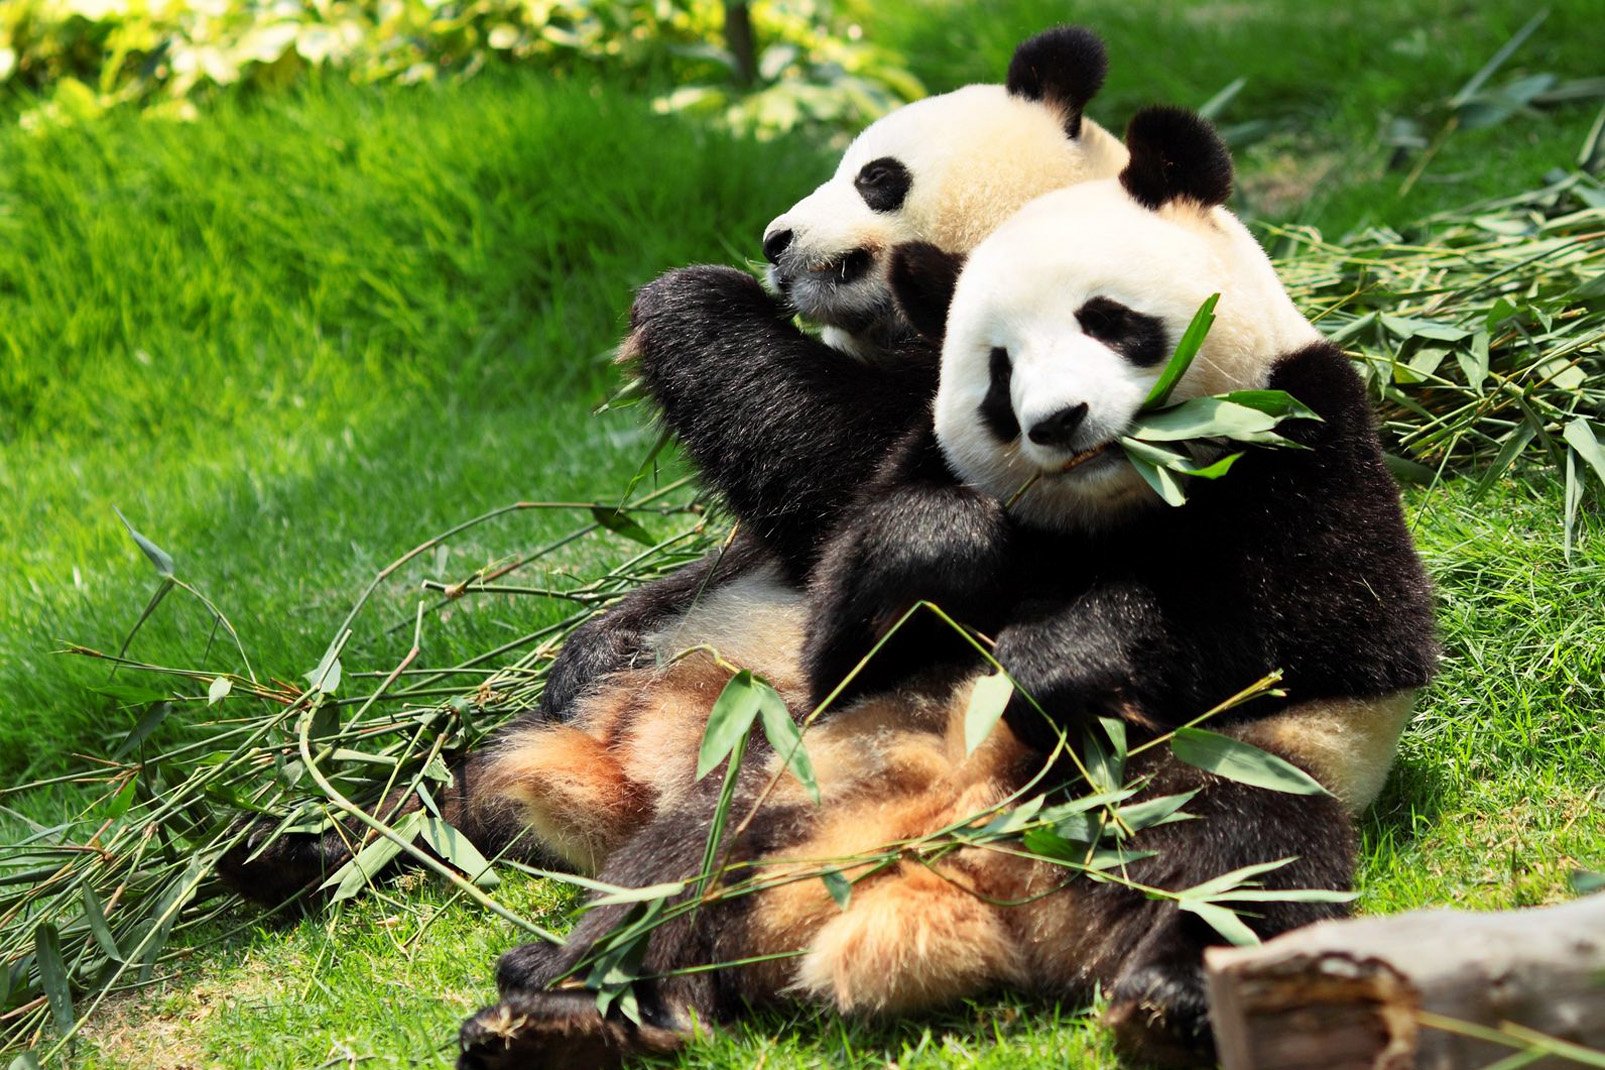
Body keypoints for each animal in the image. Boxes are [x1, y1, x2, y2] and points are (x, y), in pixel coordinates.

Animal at [454, 108, 1438, 1069]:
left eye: (1107, 320)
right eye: (998, 370)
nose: (1059, 421)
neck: (1110, 504)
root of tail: (956, 866)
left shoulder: (1305, 428)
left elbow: (1331, 624)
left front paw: (1065, 652)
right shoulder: (915, 469)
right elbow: (838, 630)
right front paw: (943, 549)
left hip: (1203, 775)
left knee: (1244, 865)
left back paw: (1172, 1000)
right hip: (799, 773)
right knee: (675, 870)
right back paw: (563, 1006)